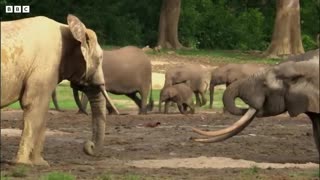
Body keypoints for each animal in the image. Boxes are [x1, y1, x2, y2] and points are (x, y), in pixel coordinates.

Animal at [0, 15, 117, 166]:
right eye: (100, 59)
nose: (89, 146)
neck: (68, 28)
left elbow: (42, 112)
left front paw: (41, 164)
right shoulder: (45, 66)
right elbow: (34, 105)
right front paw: (23, 164)